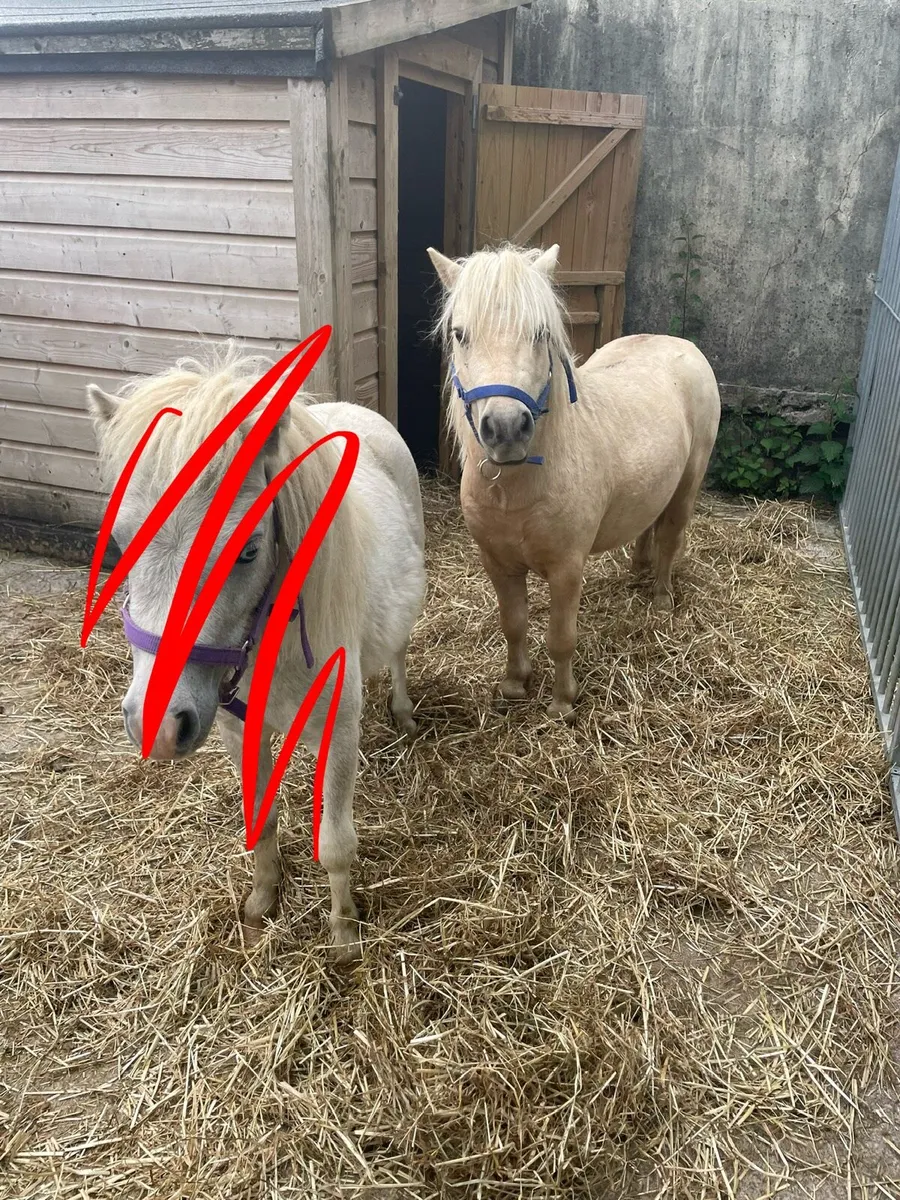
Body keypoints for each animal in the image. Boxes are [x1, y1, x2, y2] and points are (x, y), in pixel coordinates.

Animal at [86, 349, 426, 959]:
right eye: (122, 541)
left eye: (248, 549)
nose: (157, 724)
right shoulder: (236, 729)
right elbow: (261, 819)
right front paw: (262, 902)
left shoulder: (338, 730)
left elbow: (335, 843)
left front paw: (343, 933)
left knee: (397, 653)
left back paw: (404, 713)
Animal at [427, 242, 721, 721]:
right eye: (459, 334)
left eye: (540, 333)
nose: (506, 429)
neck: (519, 486)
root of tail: (679, 344)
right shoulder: (498, 564)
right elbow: (513, 624)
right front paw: (515, 684)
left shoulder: (567, 569)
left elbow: (560, 638)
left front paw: (563, 702)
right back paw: (637, 570)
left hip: (687, 487)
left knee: (671, 538)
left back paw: (660, 600)